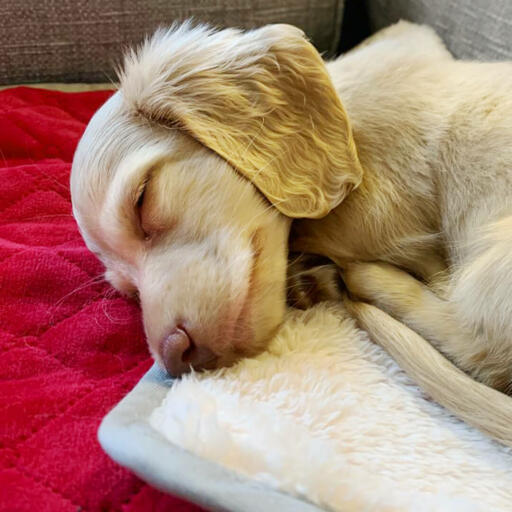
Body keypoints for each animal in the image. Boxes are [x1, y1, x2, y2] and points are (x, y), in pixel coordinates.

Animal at [70, 19, 512, 444]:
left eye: (142, 199)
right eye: (129, 290)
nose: (174, 357)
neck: (349, 125)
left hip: (492, 259)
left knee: (474, 346)